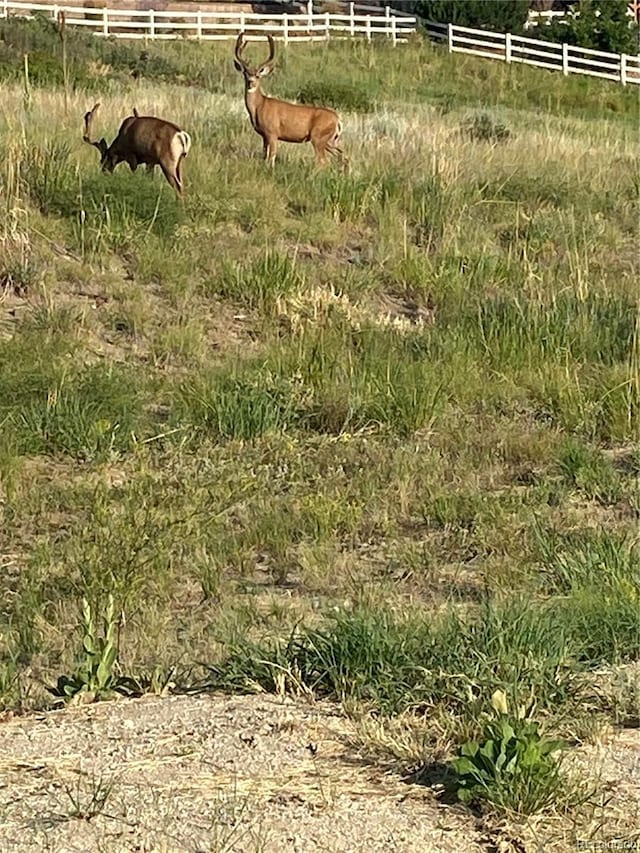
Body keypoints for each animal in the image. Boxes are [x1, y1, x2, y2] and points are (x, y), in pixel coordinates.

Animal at [232, 33, 348, 170]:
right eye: (245, 74)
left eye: (258, 76)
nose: (250, 83)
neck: (260, 106)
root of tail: (337, 120)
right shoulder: (264, 135)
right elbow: (264, 156)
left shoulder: (272, 132)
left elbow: (271, 157)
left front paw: (271, 170)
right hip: (330, 140)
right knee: (344, 156)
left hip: (318, 137)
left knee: (324, 161)